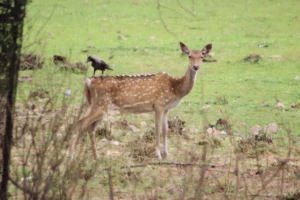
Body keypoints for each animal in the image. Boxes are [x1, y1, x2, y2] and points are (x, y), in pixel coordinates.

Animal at [69, 41, 212, 159]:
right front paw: (158, 155)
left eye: (202, 56)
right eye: (189, 56)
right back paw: (71, 156)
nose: (195, 67)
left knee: (90, 128)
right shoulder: (158, 105)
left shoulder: (166, 109)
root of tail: (88, 82)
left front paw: (167, 154)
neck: (175, 88)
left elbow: (166, 129)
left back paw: (96, 157)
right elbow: (158, 128)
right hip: (100, 105)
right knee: (79, 123)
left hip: (98, 106)